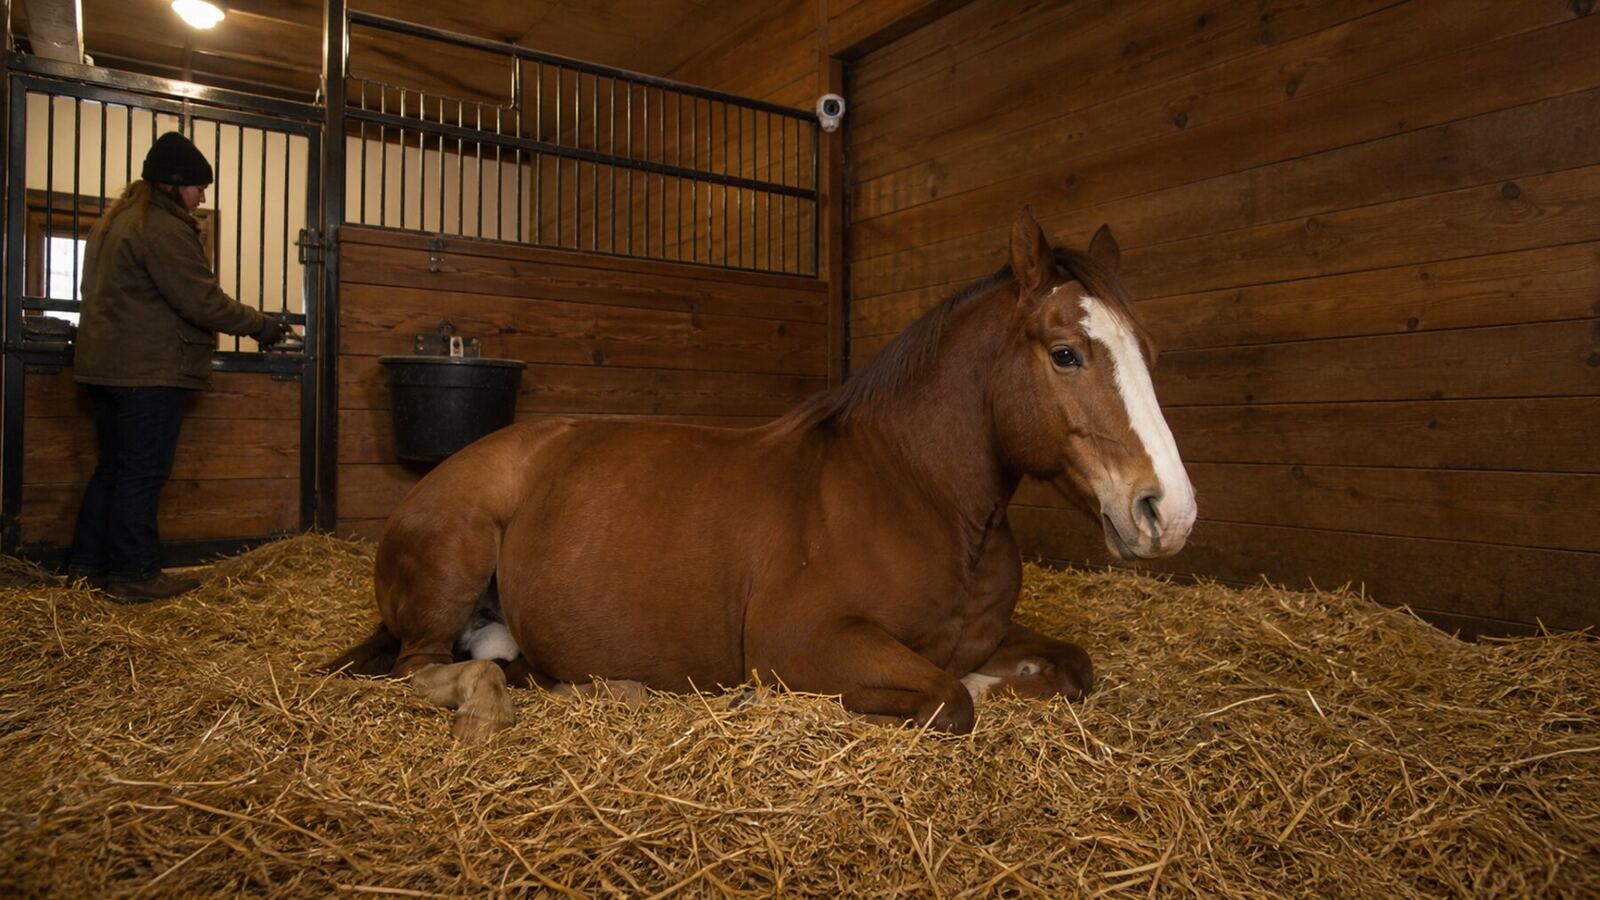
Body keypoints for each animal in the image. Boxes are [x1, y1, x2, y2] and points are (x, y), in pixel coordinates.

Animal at [327, 207, 1197, 742]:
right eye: (1066, 353)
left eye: (1152, 352)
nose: (1169, 512)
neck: (917, 495)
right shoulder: (809, 644)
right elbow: (952, 696)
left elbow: (1071, 668)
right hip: (453, 566)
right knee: (423, 670)